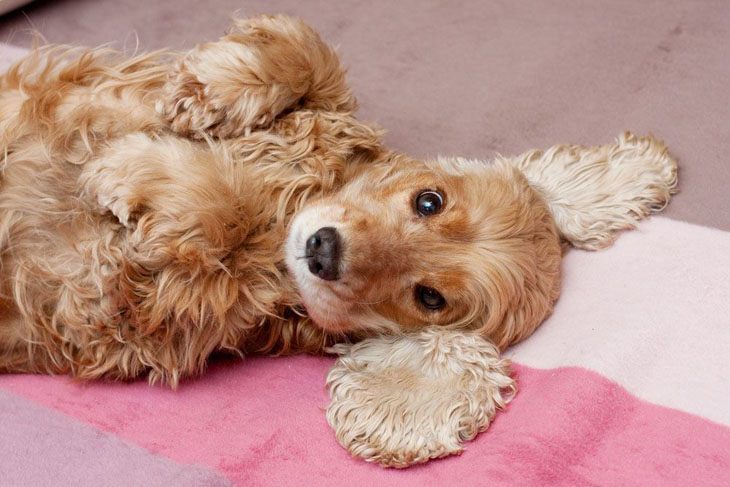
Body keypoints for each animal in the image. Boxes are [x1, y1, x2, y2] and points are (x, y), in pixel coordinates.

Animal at [0, 15, 676, 388]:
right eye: (428, 202)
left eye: (430, 299)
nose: (322, 250)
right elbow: (309, 52)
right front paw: (211, 90)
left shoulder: (139, 309)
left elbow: (213, 224)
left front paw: (129, 172)